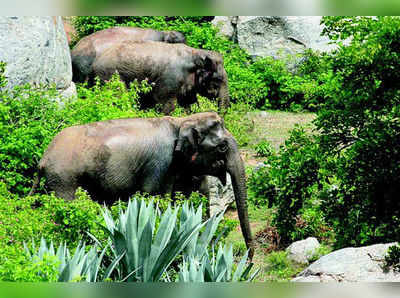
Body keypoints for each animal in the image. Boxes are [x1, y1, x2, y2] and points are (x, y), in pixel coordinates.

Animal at [29, 112, 253, 258]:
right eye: (222, 147)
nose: (249, 260)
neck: (182, 120)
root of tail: (43, 159)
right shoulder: (161, 163)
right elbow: (157, 198)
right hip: (64, 180)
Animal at [89, 40, 230, 113]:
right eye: (217, 80)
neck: (196, 53)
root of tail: (95, 62)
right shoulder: (170, 79)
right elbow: (166, 101)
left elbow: (187, 102)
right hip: (110, 75)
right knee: (119, 96)